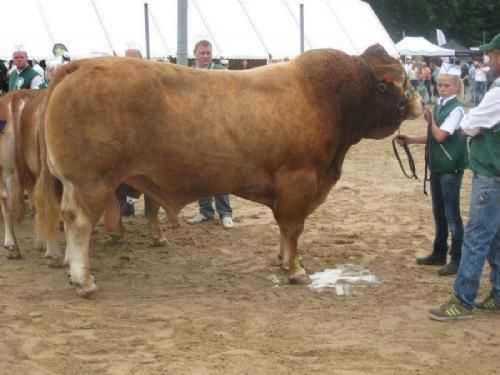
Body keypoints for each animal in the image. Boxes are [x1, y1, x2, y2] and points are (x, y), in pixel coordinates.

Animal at [35, 44, 422, 296]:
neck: (328, 98)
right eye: (399, 78)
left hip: (75, 183)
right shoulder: (299, 180)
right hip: (91, 182)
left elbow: (285, 230)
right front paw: (296, 270)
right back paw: (84, 280)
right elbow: (293, 227)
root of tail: (79, 66)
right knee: (78, 222)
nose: (418, 101)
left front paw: (282, 260)